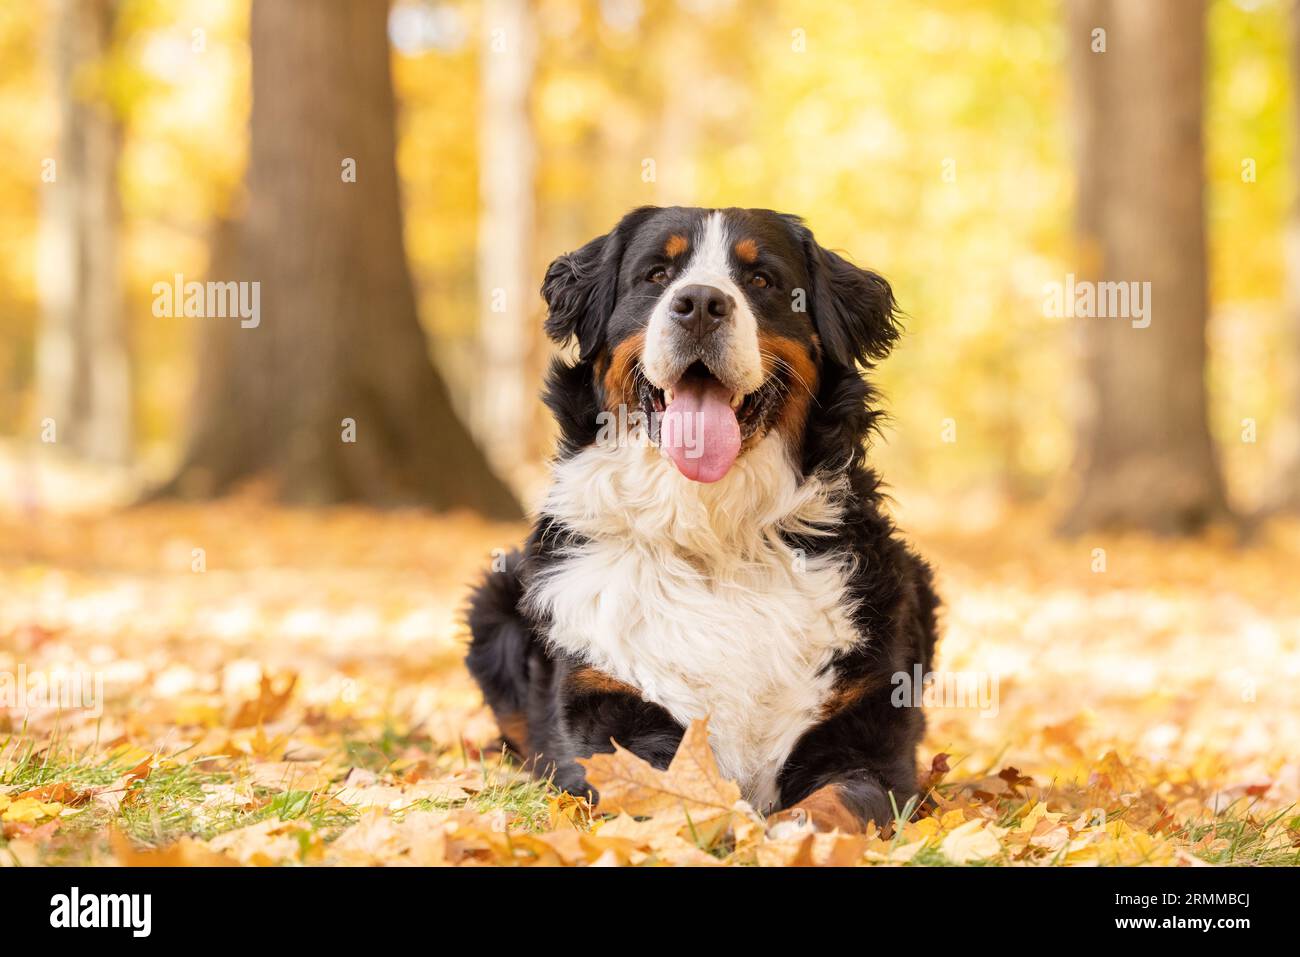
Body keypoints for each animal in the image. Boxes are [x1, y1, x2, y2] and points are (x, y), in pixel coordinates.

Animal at [462, 208, 941, 832]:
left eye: (762, 280)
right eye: (657, 274)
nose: (700, 304)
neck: (714, 533)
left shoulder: (870, 737)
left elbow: (837, 800)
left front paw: (787, 836)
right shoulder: (610, 718)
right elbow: (670, 790)